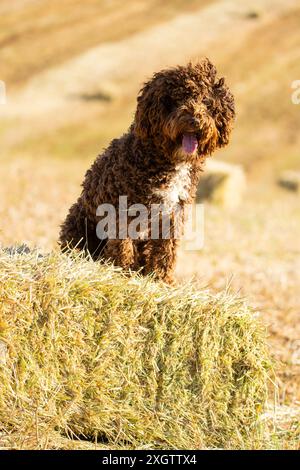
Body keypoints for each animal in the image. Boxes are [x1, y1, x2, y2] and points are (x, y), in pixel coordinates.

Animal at [59, 60, 236, 284]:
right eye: (177, 99)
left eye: (205, 101)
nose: (195, 120)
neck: (166, 160)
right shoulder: (121, 209)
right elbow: (123, 245)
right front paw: (122, 271)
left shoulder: (172, 215)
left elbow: (165, 250)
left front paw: (161, 279)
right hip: (79, 223)